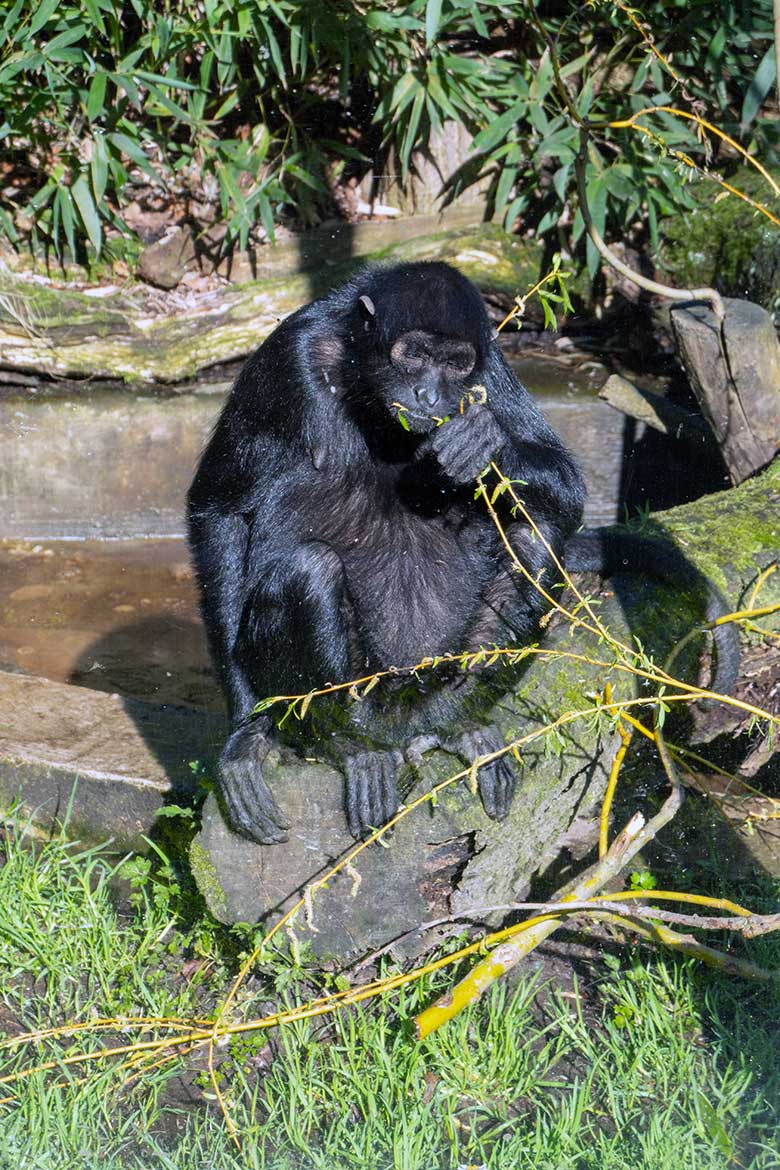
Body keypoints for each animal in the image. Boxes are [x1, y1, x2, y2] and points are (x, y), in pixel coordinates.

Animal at [187, 263, 739, 842]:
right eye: (414, 354)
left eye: (454, 364)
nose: (429, 394)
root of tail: (403, 719)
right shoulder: (290, 357)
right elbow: (219, 510)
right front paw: (247, 731)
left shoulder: (488, 371)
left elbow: (566, 492)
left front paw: (480, 443)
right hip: (369, 691)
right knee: (308, 569)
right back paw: (349, 743)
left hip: (439, 675)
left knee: (534, 536)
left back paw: (458, 723)